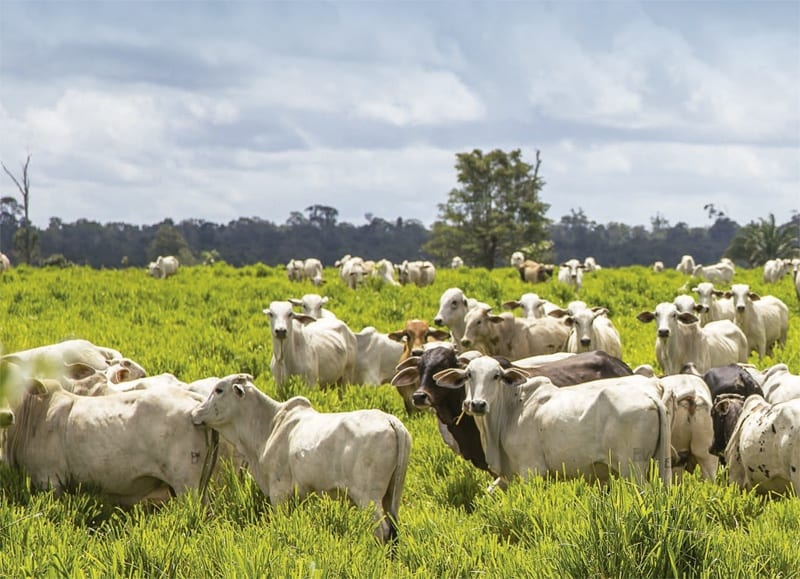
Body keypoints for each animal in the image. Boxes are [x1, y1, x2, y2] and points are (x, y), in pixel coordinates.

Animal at [191, 372, 410, 544]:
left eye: (219, 390)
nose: (195, 412)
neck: (269, 425)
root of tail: (391, 420)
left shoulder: (279, 492)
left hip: (368, 497)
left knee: (382, 530)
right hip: (392, 496)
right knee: (394, 529)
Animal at [434, 360, 672, 488]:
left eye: (496, 375)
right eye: (468, 374)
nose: (477, 404)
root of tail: (652, 394)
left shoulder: (531, 471)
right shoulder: (507, 475)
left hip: (632, 469)